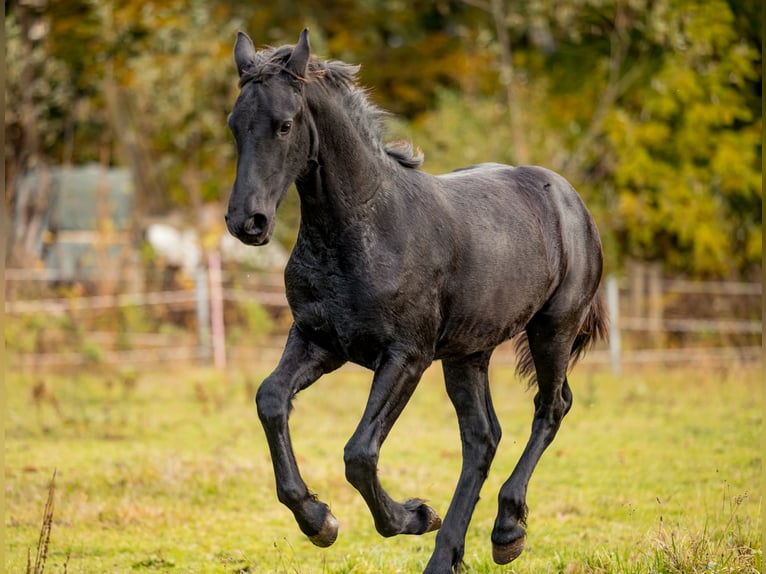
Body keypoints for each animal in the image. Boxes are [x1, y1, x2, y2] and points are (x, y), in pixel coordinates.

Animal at [225, 28, 608, 573]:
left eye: (285, 125)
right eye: (235, 125)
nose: (247, 222)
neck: (364, 226)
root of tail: (572, 202)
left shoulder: (407, 355)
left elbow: (359, 453)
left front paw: (412, 515)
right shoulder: (320, 341)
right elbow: (271, 400)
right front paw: (318, 519)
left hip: (552, 329)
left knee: (551, 407)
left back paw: (507, 531)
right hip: (469, 353)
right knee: (482, 438)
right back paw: (446, 555)